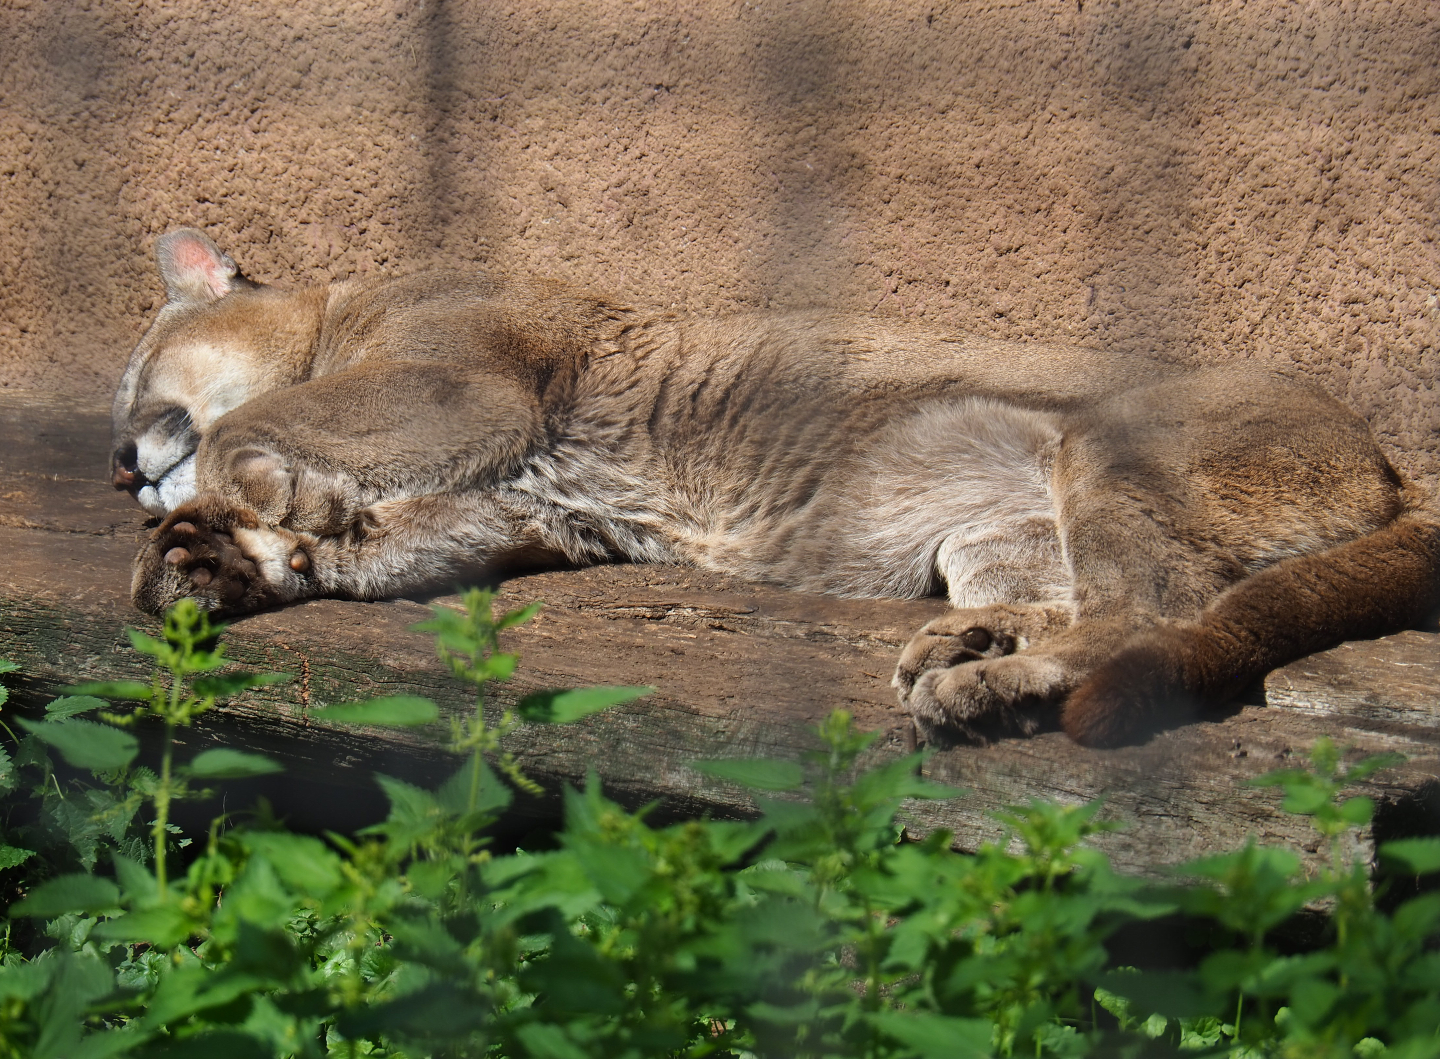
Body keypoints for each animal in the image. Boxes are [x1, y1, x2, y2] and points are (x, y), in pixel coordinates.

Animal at [112, 229, 1440, 747]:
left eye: (133, 380)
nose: (119, 463)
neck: (340, 309)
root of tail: (1387, 457)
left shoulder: (464, 386)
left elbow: (262, 430)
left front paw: (259, 501)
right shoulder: (526, 508)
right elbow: (382, 545)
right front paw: (239, 556)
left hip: (1116, 451)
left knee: (1154, 611)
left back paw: (987, 683)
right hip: (1000, 531)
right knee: (1102, 597)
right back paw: (969, 642)